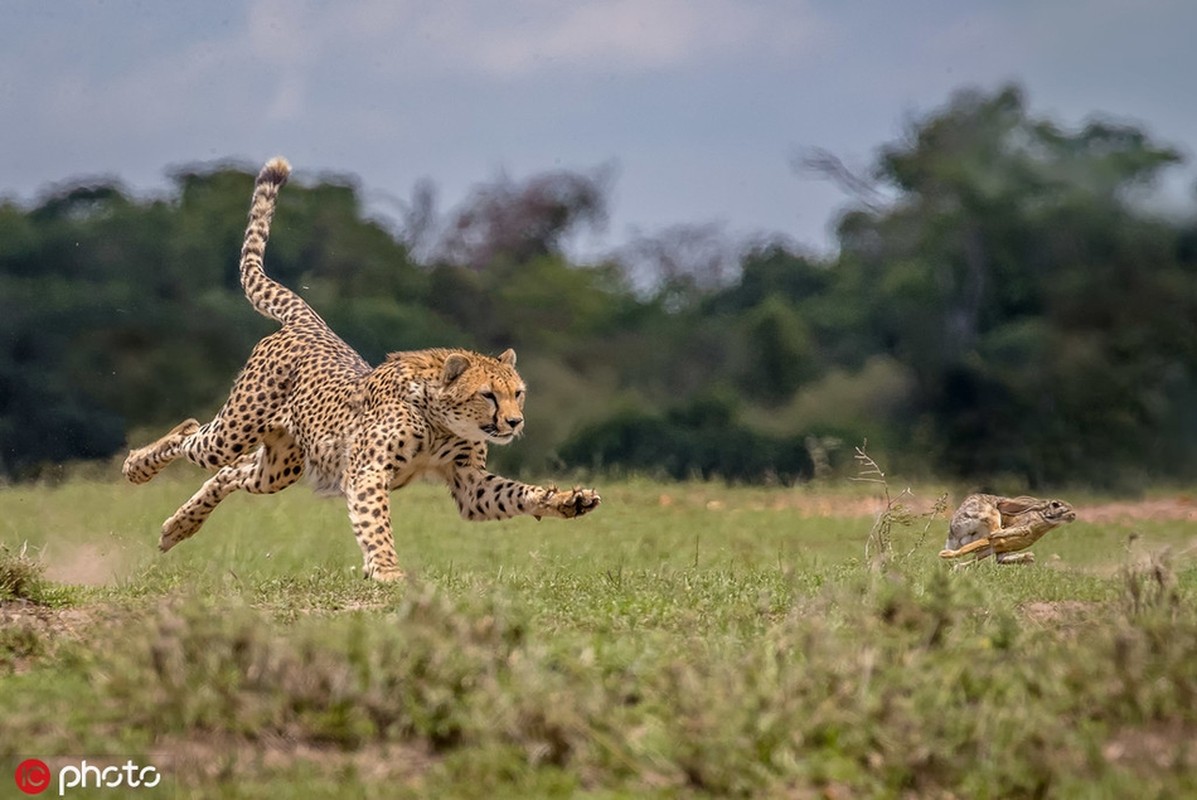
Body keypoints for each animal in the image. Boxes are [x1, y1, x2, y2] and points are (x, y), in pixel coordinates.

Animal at [123, 155, 598, 582]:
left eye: (517, 393)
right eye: (488, 395)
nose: (515, 422)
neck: (440, 419)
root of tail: (310, 323)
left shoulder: (469, 484)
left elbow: (515, 493)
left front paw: (566, 500)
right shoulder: (366, 472)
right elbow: (376, 523)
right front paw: (386, 569)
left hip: (281, 466)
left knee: (230, 472)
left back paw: (179, 527)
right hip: (237, 429)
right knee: (191, 434)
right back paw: (137, 469)